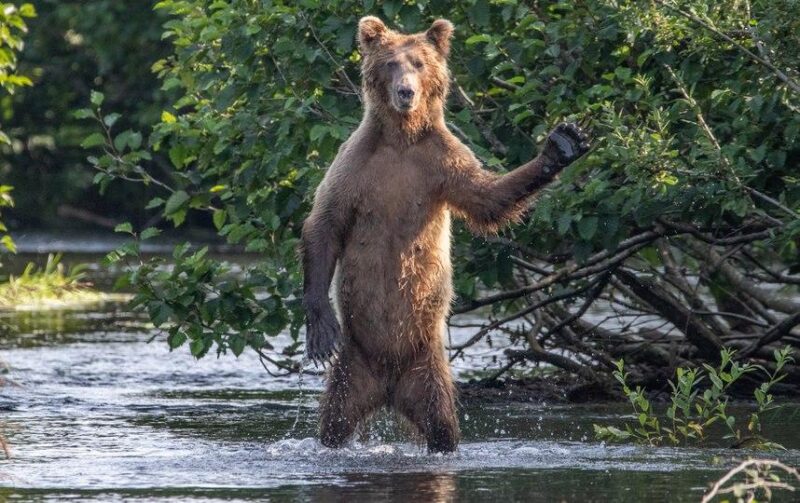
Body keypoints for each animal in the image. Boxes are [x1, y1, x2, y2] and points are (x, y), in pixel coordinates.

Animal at [300, 16, 588, 452]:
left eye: (419, 63)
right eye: (390, 63)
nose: (405, 91)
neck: (402, 139)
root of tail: (387, 387)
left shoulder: (441, 162)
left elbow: (487, 198)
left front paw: (562, 145)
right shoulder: (355, 165)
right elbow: (325, 224)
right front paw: (320, 330)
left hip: (427, 366)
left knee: (441, 423)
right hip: (354, 364)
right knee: (335, 420)